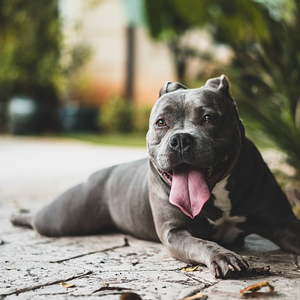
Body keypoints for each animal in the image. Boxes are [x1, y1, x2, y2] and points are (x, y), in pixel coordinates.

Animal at [11, 75, 300, 278]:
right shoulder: (175, 232)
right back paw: (19, 216)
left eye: (209, 117)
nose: (181, 139)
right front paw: (224, 256)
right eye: (161, 122)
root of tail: (103, 173)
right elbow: (203, 243)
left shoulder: (283, 223)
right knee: (39, 219)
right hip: (62, 218)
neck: (217, 192)